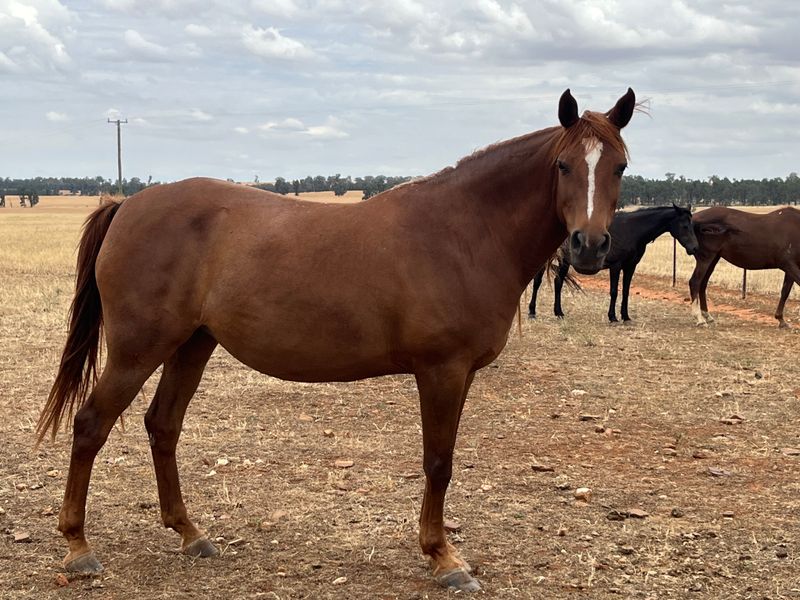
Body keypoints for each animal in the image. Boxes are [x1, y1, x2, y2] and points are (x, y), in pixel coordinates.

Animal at [37, 88, 636, 593]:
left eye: (620, 167)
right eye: (563, 165)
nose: (588, 246)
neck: (465, 232)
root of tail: (129, 206)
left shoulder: (455, 373)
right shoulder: (442, 370)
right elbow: (438, 462)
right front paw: (444, 559)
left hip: (192, 345)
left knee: (162, 426)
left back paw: (191, 534)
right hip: (138, 350)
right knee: (90, 426)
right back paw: (79, 548)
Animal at [529, 204, 698, 322]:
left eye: (692, 224)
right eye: (685, 226)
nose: (694, 248)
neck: (631, 230)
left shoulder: (630, 266)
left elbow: (626, 291)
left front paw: (625, 316)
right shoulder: (615, 266)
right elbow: (614, 291)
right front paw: (612, 317)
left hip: (565, 261)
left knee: (558, 282)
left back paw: (559, 313)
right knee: (538, 282)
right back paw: (532, 312)